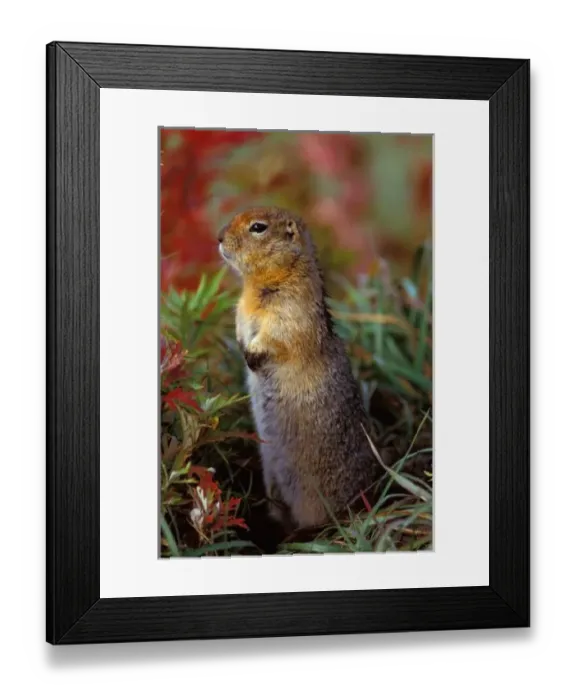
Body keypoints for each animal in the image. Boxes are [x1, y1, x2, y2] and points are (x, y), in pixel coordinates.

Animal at [218, 206, 379, 532]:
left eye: (258, 227)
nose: (218, 237)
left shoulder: (292, 308)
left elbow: (280, 333)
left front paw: (253, 353)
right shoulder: (243, 309)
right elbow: (241, 323)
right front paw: (244, 347)